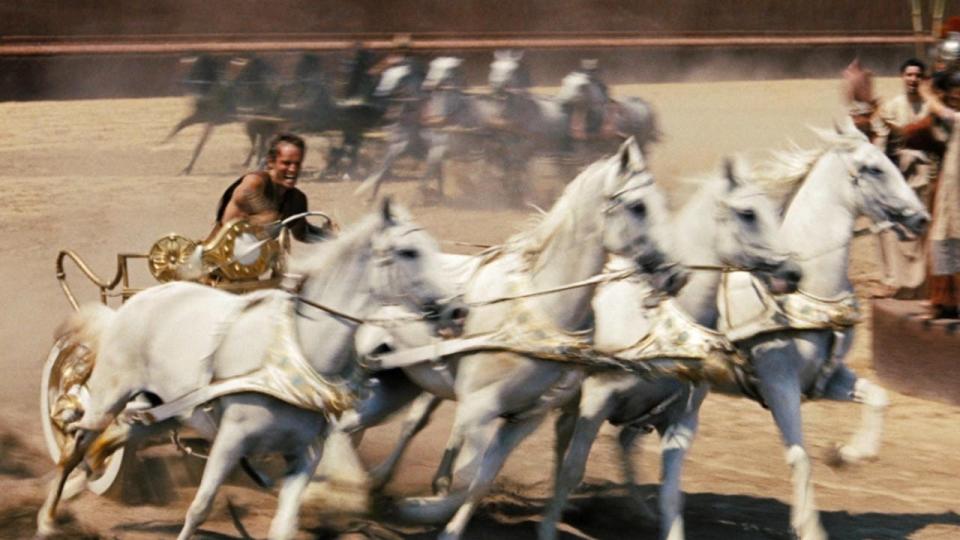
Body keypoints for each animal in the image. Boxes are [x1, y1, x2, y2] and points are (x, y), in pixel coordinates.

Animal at [37, 201, 468, 540]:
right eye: (409, 252)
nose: (458, 310)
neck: (297, 352)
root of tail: (138, 299)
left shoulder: (305, 453)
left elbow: (284, 525)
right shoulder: (231, 440)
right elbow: (199, 507)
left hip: (162, 407)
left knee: (118, 435)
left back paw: (84, 478)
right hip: (109, 394)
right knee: (75, 441)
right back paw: (49, 517)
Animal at [540, 160, 804, 540]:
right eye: (748, 213)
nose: (793, 273)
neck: (664, 324)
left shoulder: (681, 418)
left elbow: (670, 493)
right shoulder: (597, 399)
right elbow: (573, 468)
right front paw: (548, 526)